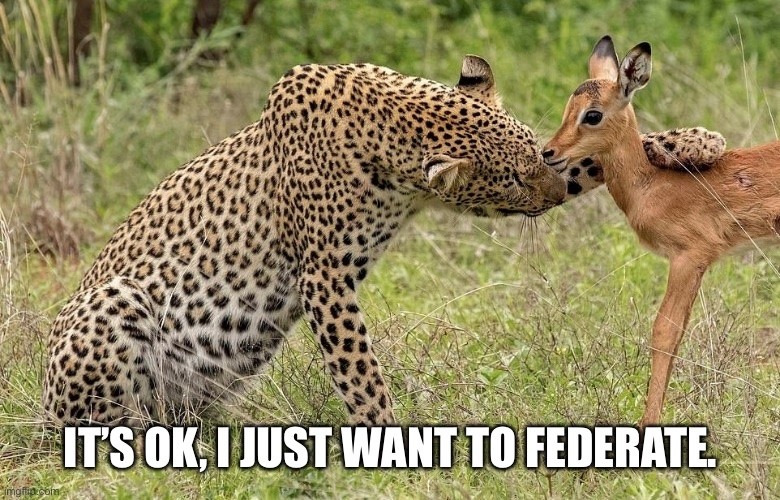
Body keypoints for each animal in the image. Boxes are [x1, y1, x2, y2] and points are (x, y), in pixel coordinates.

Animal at [41, 56, 724, 428]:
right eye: (510, 180)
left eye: (538, 151)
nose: (551, 188)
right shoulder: (324, 278)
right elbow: (361, 373)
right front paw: (387, 446)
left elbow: (603, 156)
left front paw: (696, 141)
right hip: (114, 304)